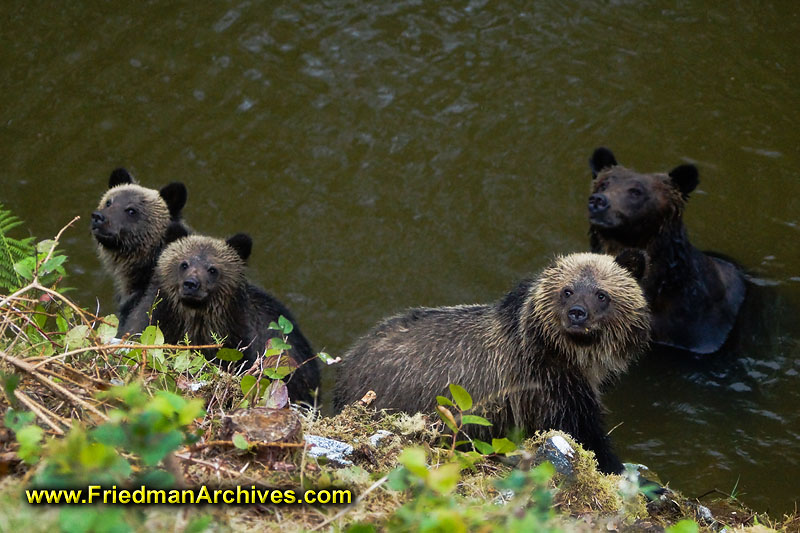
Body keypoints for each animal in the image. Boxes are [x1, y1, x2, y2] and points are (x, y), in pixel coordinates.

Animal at [126, 232, 320, 404]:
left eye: (212, 269)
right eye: (184, 264)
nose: (191, 284)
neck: (196, 320)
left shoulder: (240, 342)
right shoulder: (156, 323)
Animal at [334, 250, 652, 474]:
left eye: (601, 294)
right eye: (567, 290)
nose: (577, 313)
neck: (576, 357)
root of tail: (350, 358)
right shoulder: (545, 385)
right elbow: (582, 434)